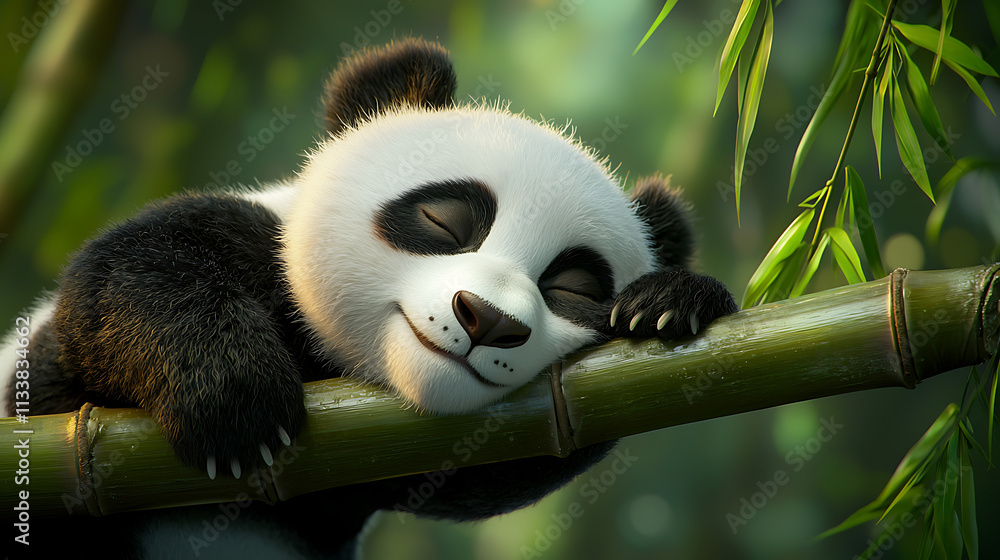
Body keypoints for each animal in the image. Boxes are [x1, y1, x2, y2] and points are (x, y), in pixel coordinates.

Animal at [2, 39, 737, 558]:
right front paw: (233, 401)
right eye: (444, 222)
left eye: (571, 288)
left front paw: (667, 303)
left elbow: (512, 465)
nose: (487, 319)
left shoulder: (370, 476)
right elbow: (114, 289)